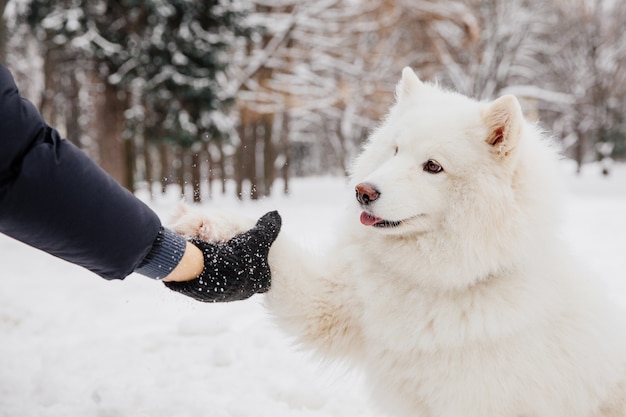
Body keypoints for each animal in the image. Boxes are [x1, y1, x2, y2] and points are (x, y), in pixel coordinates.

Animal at [171, 68, 624, 416]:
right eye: (395, 150)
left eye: (433, 166)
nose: (362, 191)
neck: (435, 284)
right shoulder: (333, 303)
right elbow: (271, 252)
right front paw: (209, 224)